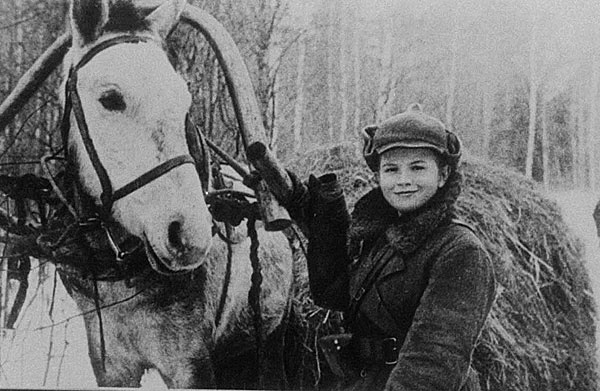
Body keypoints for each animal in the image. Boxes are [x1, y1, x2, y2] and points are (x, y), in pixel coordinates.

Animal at [54, 0, 292, 388]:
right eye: (110, 98)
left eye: (185, 102)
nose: (190, 234)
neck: (121, 271)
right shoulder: (110, 363)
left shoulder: (190, 363)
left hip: (269, 337)